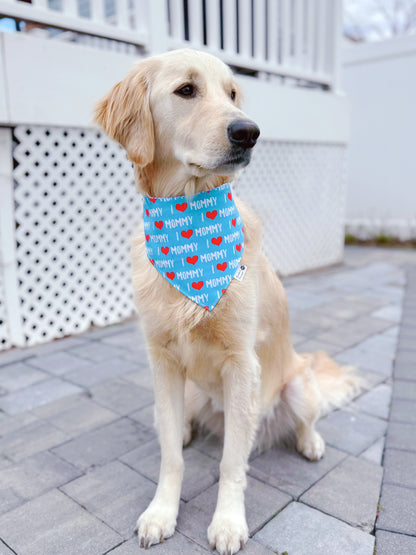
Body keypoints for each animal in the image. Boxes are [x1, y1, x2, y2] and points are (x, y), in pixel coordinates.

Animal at [95, 50, 360, 552]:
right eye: (186, 90)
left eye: (233, 94)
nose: (249, 131)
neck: (187, 220)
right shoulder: (162, 359)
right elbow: (170, 458)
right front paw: (161, 512)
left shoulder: (242, 364)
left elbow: (231, 463)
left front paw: (228, 523)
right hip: (192, 390)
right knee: (180, 426)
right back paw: (181, 430)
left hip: (296, 385)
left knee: (304, 419)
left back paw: (310, 442)